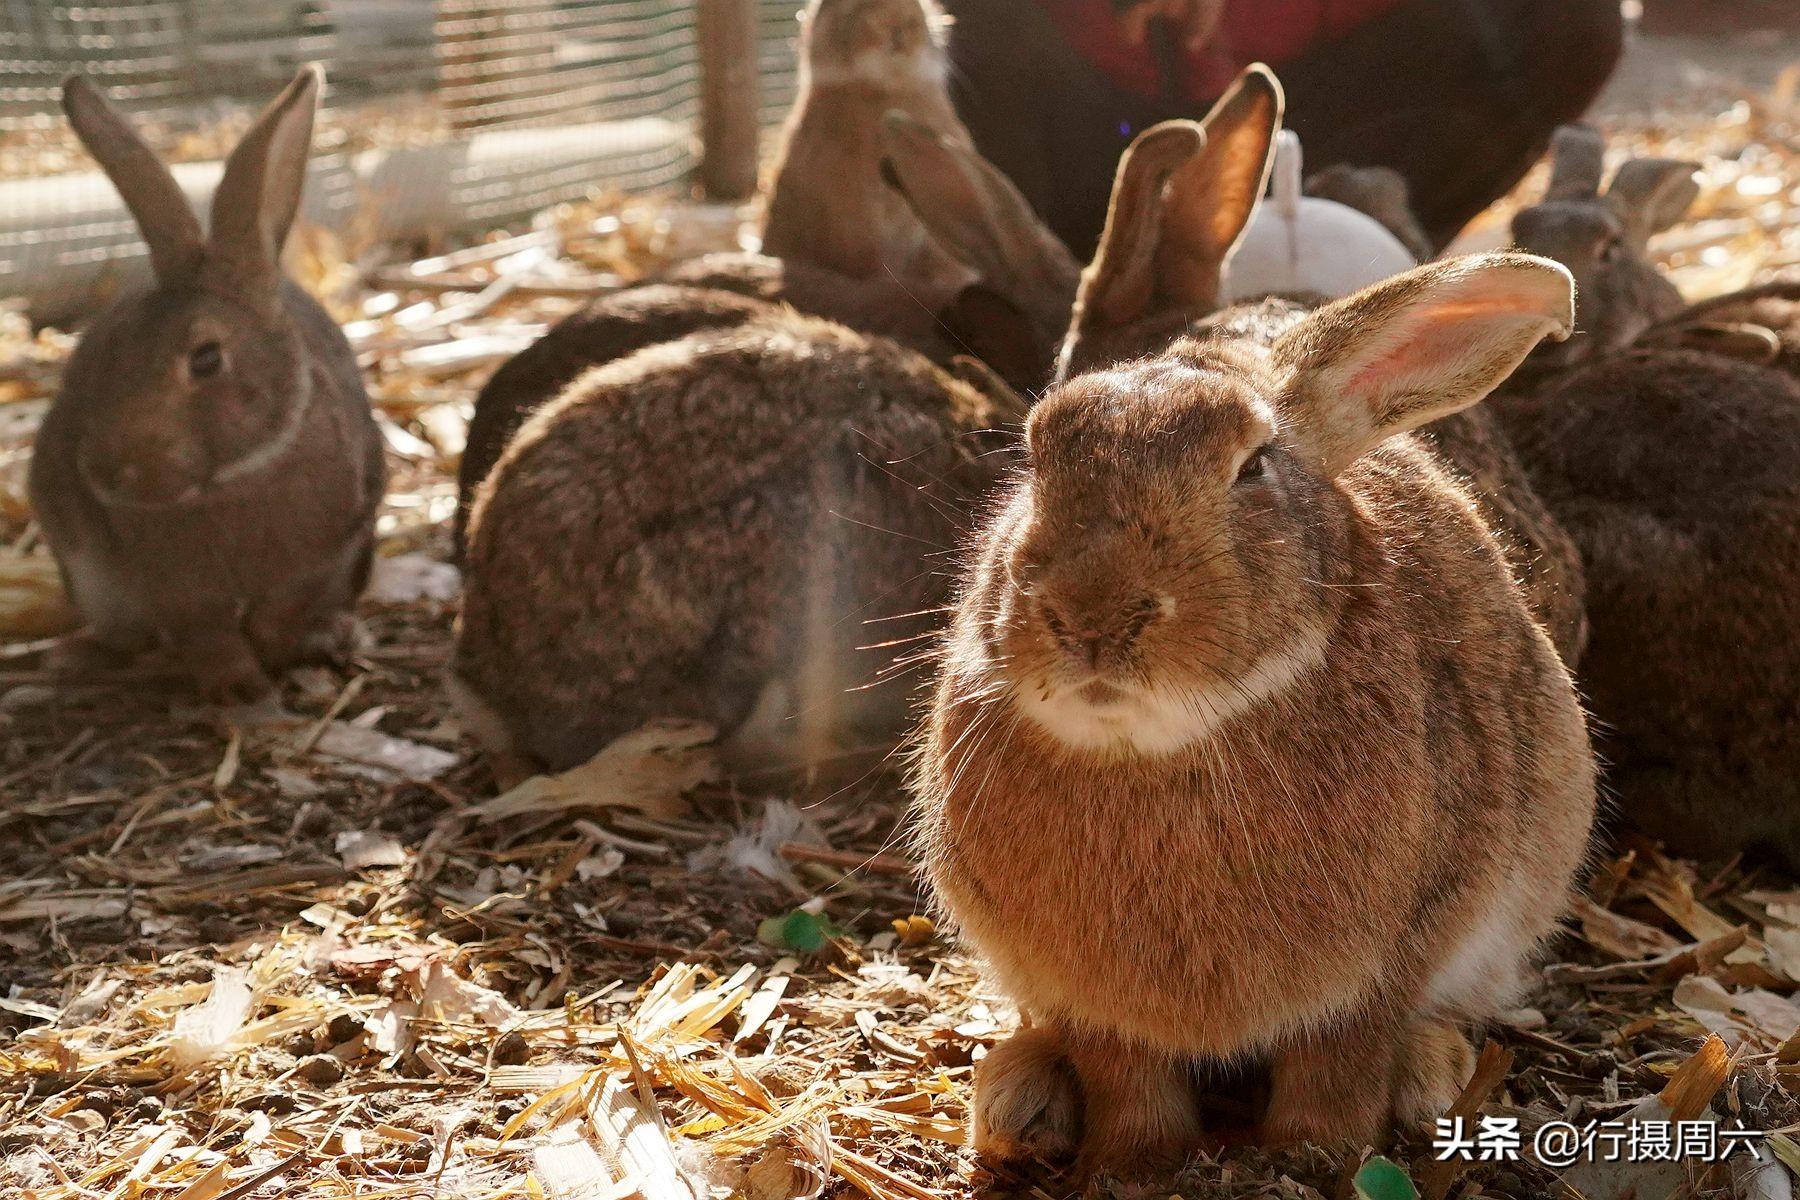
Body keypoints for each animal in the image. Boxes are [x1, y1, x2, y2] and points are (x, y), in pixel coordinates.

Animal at [30, 67, 387, 705]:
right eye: (101, 349)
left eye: (205, 359)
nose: (108, 474)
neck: (236, 479)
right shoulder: (177, 589)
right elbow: (207, 634)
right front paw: (238, 687)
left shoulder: (314, 564)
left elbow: (277, 617)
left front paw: (272, 660)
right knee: (125, 633)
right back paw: (75, 657)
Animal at [914, 72, 1591, 1173]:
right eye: (1036, 450)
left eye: (1252, 468)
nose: (1091, 618)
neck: (1156, 745)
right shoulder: (1099, 1007)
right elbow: (1126, 1078)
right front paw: (1131, 1168)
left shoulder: (1382, 966)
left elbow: (1339, 1066)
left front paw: (1312, 1160)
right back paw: (1018, 1098)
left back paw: (1430, 1081)